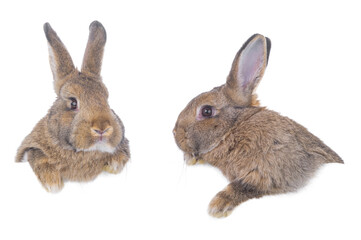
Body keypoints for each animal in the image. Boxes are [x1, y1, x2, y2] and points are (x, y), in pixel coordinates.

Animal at [16, 21, 131, 192]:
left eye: (106, 100)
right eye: (73, 103)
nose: (102, 129)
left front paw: (114, 165)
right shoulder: (30, 149)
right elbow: (38, 156)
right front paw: (53, 184)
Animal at [173, 33, 342, 218]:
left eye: (207, 111)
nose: (175, 134)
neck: (234, 128)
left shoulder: (275, 169)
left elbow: (245, 186)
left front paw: (218, 205)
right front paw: (190, 158)